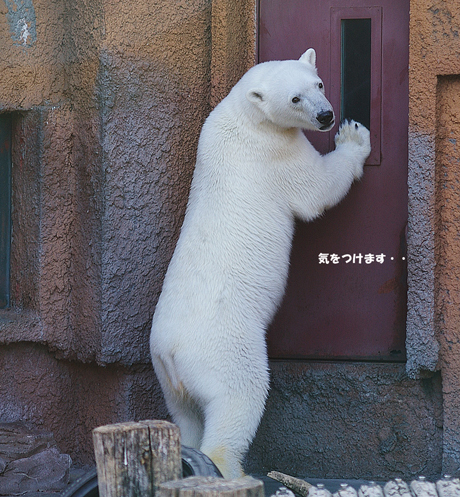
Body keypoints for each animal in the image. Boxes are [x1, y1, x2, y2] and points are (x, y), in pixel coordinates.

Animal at [151, 48, 370, 478]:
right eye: (295, 99)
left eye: (318, 83)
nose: (326, 115)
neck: (243, 116)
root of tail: (172, 351)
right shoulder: (274, 153)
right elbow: (316, 190)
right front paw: (354, 136)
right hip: (224, 348)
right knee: (240, 395)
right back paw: (231, 468)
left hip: (168, 380)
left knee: (186, 416)